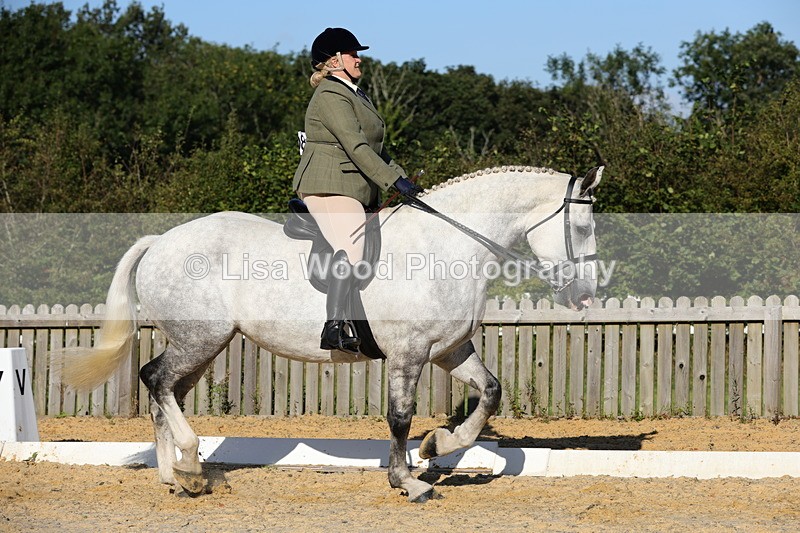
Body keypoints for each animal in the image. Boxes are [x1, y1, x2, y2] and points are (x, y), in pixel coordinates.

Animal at [59, 164, 604, 502]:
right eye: (582, 227)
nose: (587, 293)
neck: (448, 245)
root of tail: (159, 242)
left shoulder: (448, 351)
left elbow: (490, 391)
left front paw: (436, 447)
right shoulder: (408, 353)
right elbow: (400, 417)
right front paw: (408, 481)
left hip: (202, 345)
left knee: (165, 391)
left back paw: (176, 478)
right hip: (201, 340)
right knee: (156, 381)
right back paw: (191, 466)